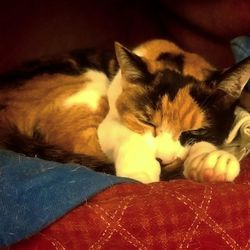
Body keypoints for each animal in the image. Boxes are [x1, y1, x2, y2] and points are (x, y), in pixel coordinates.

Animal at [0, 39, 249, 184]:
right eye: (147, 122)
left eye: (194, 132)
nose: (163, 160)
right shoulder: (107, 126)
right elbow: (130, 134)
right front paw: (140, 170)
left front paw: (212, 162)